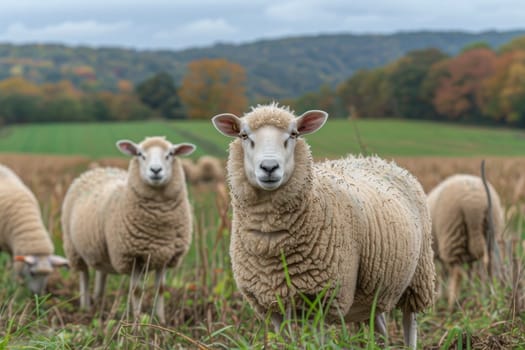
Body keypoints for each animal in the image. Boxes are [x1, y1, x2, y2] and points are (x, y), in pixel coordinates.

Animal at [61, 136, 195, 322]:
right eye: (140, 154)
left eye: (170, 154)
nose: (155, 170)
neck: (159, 225)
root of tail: (99, 170)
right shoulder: (132, 257)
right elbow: (137, 291)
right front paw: (137, 322)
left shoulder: (165, 255)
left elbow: (160, 289)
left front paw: (161, 321)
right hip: (73, 248)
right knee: (84, 276)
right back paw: (86, 307)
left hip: (101, 249)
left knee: (101, 274)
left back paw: (99, 303)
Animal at [211, 102, 436, 348]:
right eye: (244, 135)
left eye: (293, 134)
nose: (269, 167)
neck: (271, 242)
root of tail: (377, 160)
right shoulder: (272, 302)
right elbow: (285, 340)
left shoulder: (322, 298)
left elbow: (317, 339)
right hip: (373, 289)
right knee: (379, 326)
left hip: (419, 275)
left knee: (409, 322)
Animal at [426, 163, 504, 308]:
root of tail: (474, 205)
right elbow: (469, 270)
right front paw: (469, 288)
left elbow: (443, 273)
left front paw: (441, 296)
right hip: (488, 233)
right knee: (487, 264)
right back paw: (488, 296)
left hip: (453, 235)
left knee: (457, 273)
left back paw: (452, 304)